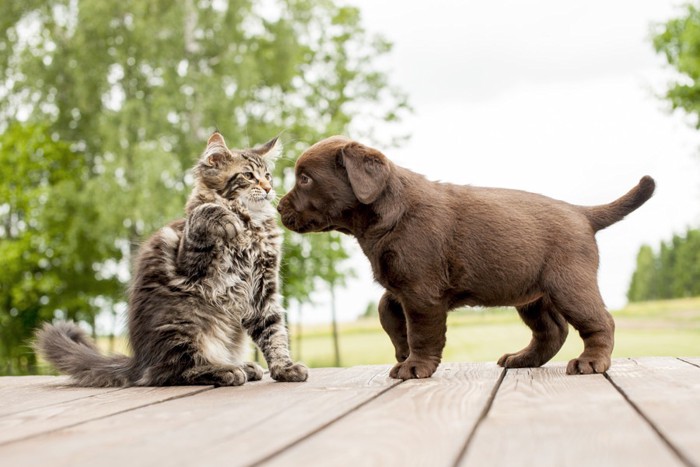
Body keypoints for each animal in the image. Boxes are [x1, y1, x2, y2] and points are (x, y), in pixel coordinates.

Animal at [32, 133, 306, 388]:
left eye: (268, 175)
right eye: (248, 176)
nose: (269, 188)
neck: (252, 224)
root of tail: (139, 362)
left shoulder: (263, 289)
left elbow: (274, 331)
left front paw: (285, 368)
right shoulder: (189, 263)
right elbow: (203, 212)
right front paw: (225, 217)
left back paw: (243, 366)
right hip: (182, 321)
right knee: (172, 371)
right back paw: (225, 370)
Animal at [276, 136, 652, 380]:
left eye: (305, 179)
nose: (277, 206)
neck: (387, 213)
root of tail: (581, 213)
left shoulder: (420, 291)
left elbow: (421, 332)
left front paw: (414, 366)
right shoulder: (400, 286)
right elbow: (386, 312)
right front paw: (401, 352)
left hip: (569, 284)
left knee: (600, 322)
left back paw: (591, 362)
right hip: (532, 294)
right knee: (552, 331)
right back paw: (523, 359)